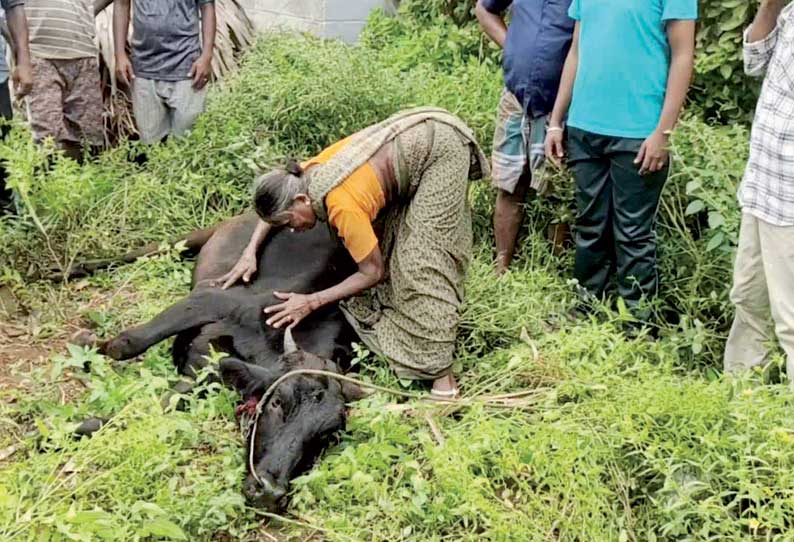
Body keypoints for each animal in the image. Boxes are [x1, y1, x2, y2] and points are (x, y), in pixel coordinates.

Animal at [95, 211, 362, 510]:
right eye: (277, 402)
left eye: (326, 435)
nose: (269, 491)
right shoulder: (209, 298)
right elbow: (126, 344)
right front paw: (87, 343)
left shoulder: (200, 375)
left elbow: (145, 410)